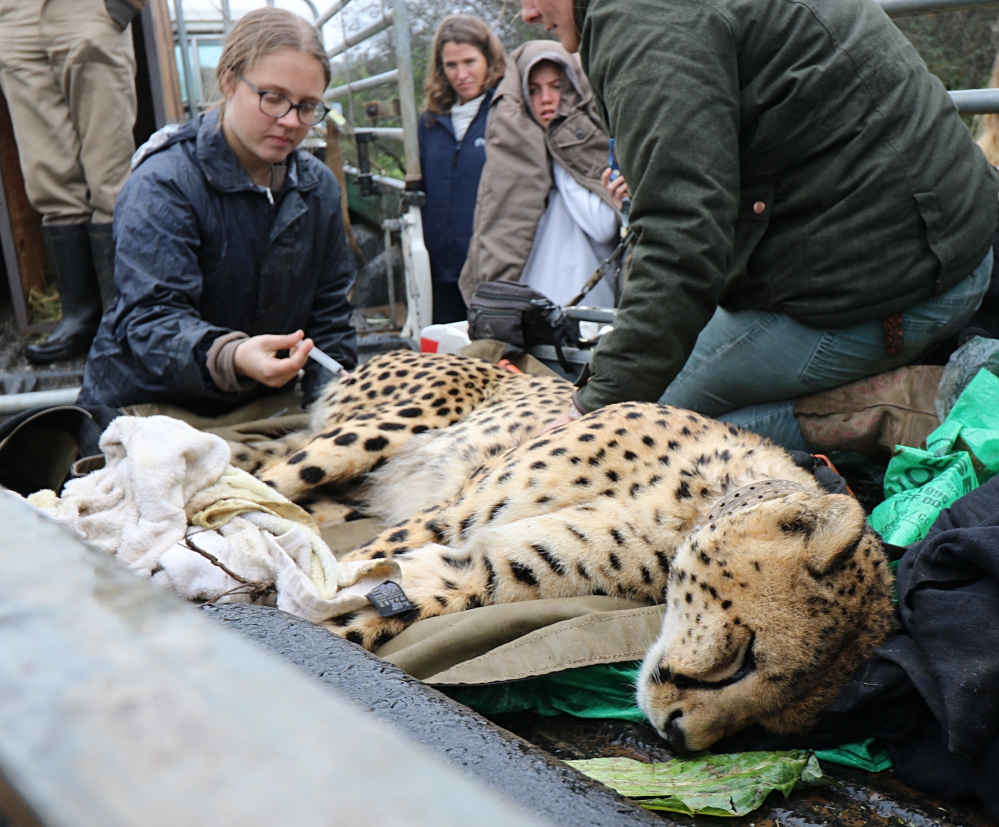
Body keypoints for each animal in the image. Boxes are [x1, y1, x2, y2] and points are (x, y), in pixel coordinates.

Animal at [250, 352, 900, 752]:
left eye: (769, 722)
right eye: (742, 659)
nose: (680, 738)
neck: (688, 497)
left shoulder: (493, 566)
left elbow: (373, 604)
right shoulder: (450, 515)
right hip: (379, 431)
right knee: (273, 477)